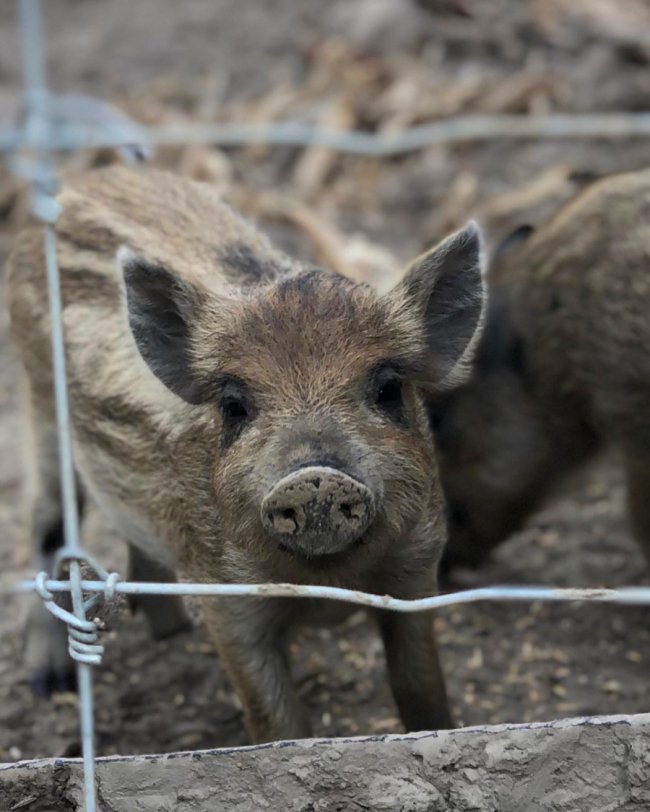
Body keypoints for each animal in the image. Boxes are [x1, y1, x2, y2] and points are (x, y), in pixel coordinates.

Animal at [3, 168, 480, 744]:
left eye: (388, 388)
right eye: (234, 405)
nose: (315, 477)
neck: (328, 583)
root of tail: (84, 179)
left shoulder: (417, 567)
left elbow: (420, 687)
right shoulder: (226, 596)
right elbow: (274, 719)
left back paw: (166, 629)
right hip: (41, 411)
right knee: (44, 525)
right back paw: (48, 683)